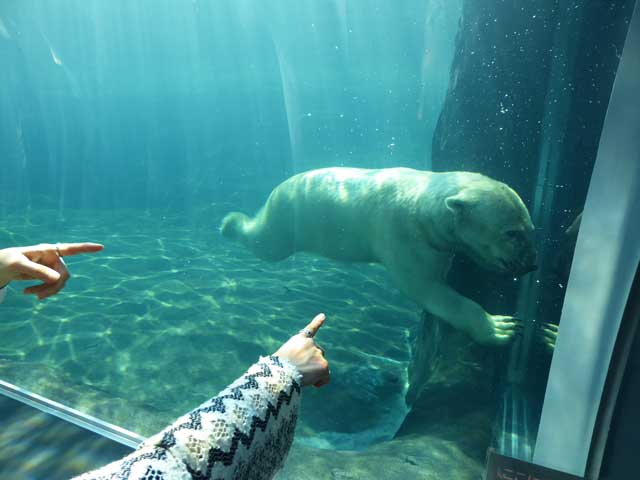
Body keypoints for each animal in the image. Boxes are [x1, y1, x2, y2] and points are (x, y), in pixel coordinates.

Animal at [222, 169, 536, 344]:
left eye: (531, 228)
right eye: (512, 233)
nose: (532, 263)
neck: (423, 202)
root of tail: (277, 189)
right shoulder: (403, 238)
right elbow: (426, 288)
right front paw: (503, 328)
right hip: (287, 220)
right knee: (266, 243)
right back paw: (230, 223)